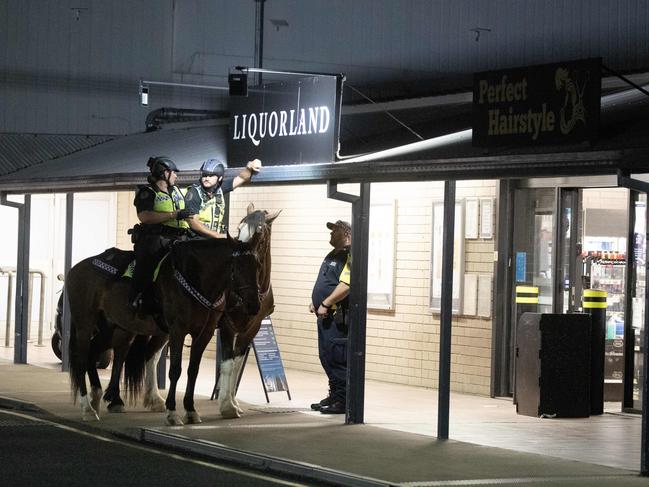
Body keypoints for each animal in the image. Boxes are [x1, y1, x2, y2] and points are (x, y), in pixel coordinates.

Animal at [66, 235, 258, 424]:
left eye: (257, 266)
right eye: (237, 267)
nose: (254, 305)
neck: (196, 278)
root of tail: (76, 268)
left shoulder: (204, 333)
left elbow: (193, 371)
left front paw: (190, 410)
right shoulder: (177, 331)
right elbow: (175, 370)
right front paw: (172, 412)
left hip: (112, 327)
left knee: (93, 353)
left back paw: (98, 398)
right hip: (85, 324)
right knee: (82, 360)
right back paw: (88, 408)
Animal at [216, 204, 280, 422]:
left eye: (259, 232)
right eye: (238, 229)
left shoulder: (252, 328)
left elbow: (236, 364)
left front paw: (232, 403)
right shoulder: (227, 325)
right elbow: (227, 364)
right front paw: (226, 406)